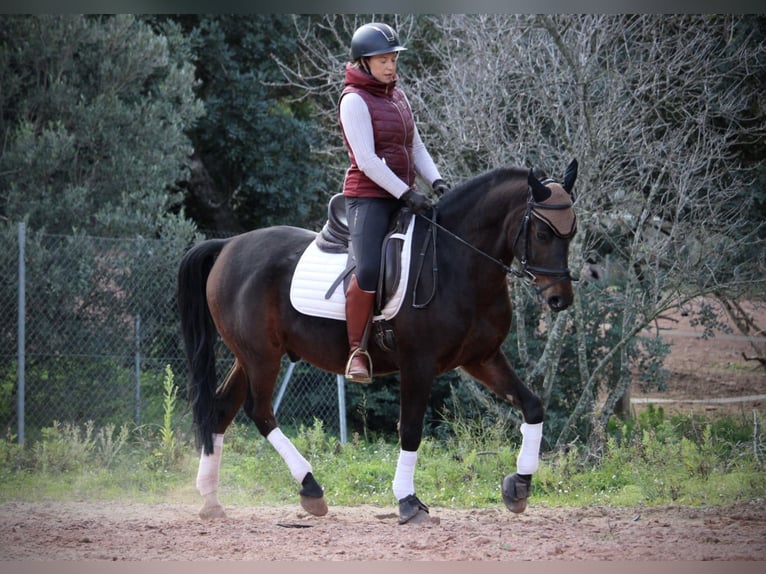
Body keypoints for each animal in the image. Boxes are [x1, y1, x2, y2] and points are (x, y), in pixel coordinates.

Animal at [177, 159, 579, 524]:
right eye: (543, 234)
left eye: (571, 233)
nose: (560, 299)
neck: (458, 263)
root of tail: (230, 244)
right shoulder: (418, 364)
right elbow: (411, 430)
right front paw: (408, 501)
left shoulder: (482, 358)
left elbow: (533, 406)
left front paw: (519, 485)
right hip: (261, 356)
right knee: (259, 412)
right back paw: (311, 488)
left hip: (249, 356)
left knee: (221, 409)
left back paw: (211, 500)